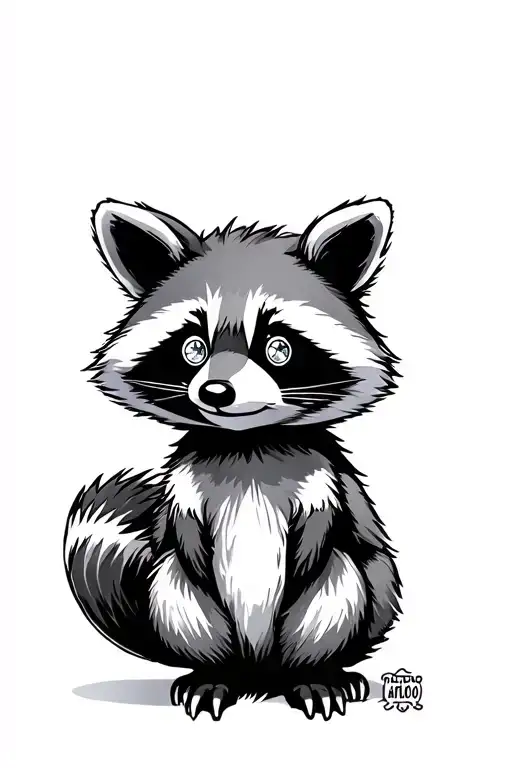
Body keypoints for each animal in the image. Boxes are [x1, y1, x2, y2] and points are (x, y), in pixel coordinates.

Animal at [65, 197, 401, 721]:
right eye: (193, 347)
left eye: (278, 347)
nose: (216, 392)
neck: (247, 445)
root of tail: (259, 673)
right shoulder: (187, 481)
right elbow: (180, 537)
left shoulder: (322, 478)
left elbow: (324, 534)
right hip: (179, 606)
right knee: (179, 589)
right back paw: (215, 673)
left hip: (348, 600)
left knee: (337, 584)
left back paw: (313, 673)